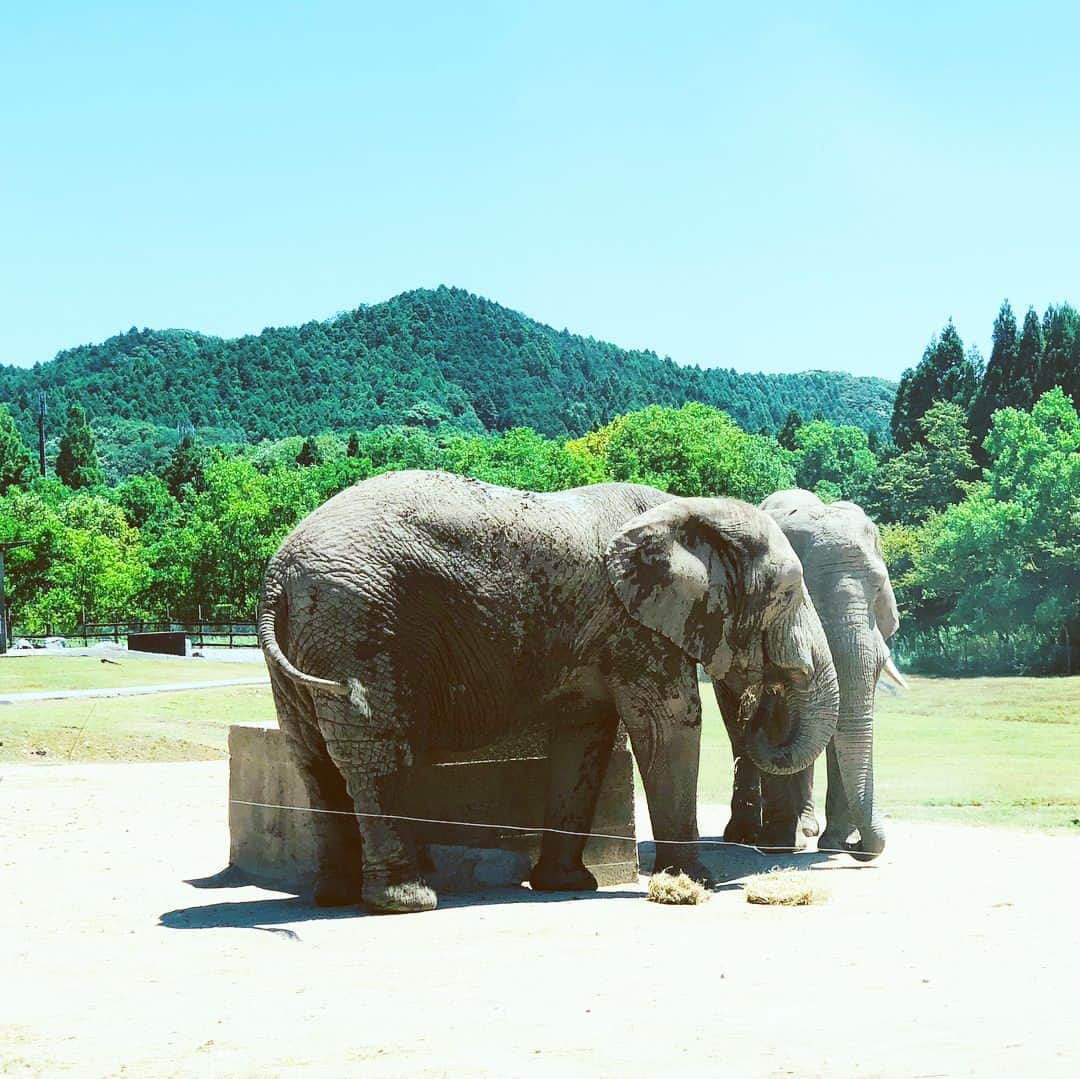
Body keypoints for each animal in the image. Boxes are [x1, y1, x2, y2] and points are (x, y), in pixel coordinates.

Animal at [257, 468, 838, 915]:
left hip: (312, 641)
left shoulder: (601, 633)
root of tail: (276, 577)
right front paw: (693, 884)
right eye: (788, 592)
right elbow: (668, 725)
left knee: (311, 756)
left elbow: (584, 738)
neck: (688, 509)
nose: (762, 700)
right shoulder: (633, 625)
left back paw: (334, 896)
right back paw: (405, 901)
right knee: (369, 754)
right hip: (357, 626)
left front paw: (566, 885)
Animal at [721, 490, 907, 859]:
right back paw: (749, 836)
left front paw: (833, 843)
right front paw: (781, 844)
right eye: (804, 591)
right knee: (740, 730)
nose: (856, 846)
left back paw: (806, 828)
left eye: (879, 589)